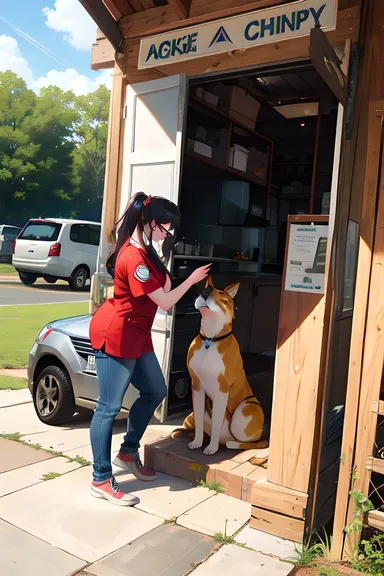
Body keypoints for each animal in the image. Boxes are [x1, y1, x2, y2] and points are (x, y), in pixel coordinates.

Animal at [184, 276, 268, 456]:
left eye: (222, 294)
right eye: (205, 288)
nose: (205, 291)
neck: (210, 339)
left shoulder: (222, 389)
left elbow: (217, 421)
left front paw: (211, 448)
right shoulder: (197, 385)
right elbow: (200, 419)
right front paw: (197, 442)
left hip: (246, 409)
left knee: (251, 441)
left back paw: (231, 443)